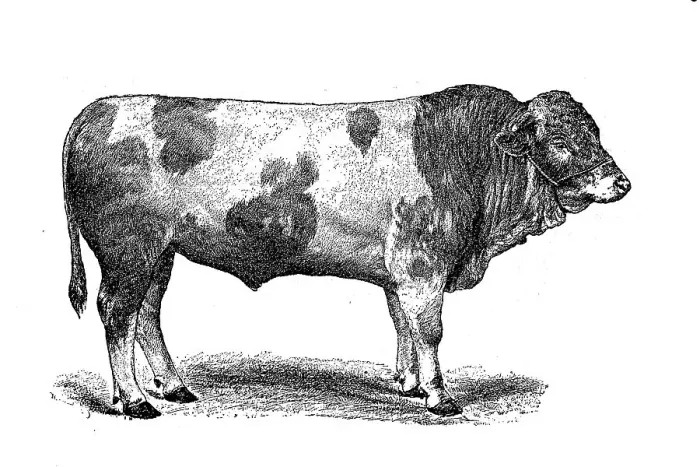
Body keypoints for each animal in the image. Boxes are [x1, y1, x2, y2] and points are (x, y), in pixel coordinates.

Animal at [62, 85, 631, 419]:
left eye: (595, 132)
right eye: (559, 141)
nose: (621, 182)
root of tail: (98, 109)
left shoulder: (402, 271)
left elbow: (402, 322)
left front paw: (407, 383)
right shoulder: (424, 265)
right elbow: (430, 330)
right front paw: (440, 396)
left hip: (160, 252)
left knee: (146, 314)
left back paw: (173, 387)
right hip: (129, 249)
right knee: (117, 313)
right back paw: (134, 400)